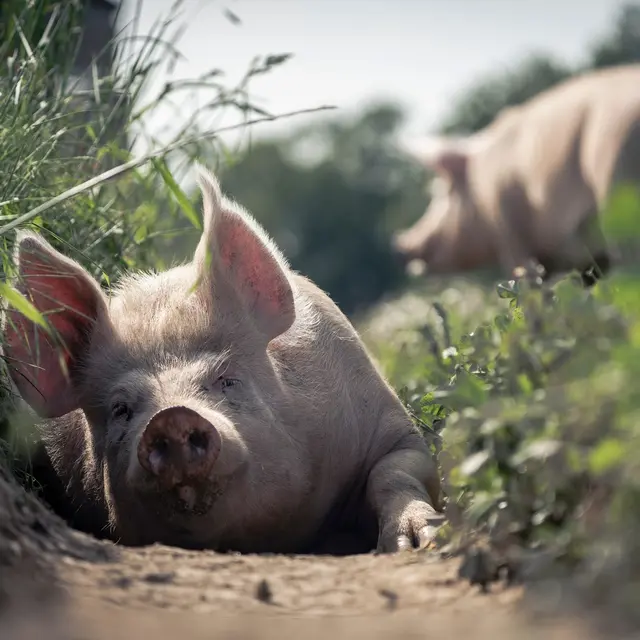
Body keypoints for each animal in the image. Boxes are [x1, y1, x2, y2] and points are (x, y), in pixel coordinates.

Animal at [1, 166, 443, 555]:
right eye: (120, 409)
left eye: (227, 380)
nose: (172, 417)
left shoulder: (386, 422)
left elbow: (395, 469)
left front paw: (418, 544)